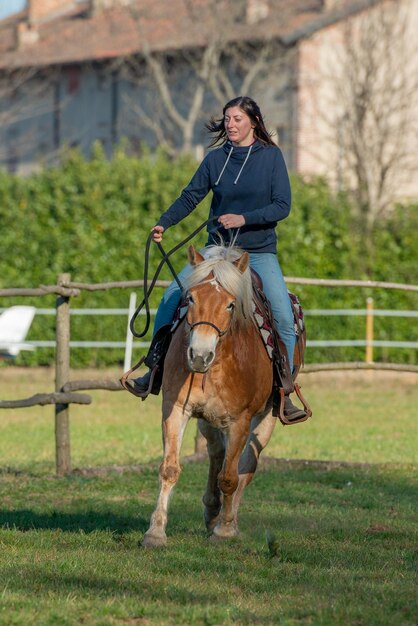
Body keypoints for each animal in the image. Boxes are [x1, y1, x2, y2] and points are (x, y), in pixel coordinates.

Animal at [142, 241, 306, 544]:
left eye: (230, 304)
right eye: (191, 298)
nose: (199, 355)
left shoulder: (241, 420)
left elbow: (230, 477)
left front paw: (225, 530)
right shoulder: (176, 407)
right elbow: (169, 469)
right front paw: (155, 532)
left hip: (267, 417)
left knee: (245, 467)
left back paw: (228, 520)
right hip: (207, 420)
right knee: (216, 453)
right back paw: (212, 512)